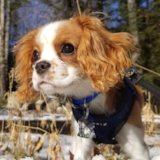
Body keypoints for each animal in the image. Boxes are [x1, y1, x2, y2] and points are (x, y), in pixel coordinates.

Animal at [13, 15, 150, 160]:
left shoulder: (136, 142)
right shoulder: (81, 140)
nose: (40, 65)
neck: (90, 98)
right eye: (35, 54)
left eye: (68, 48)